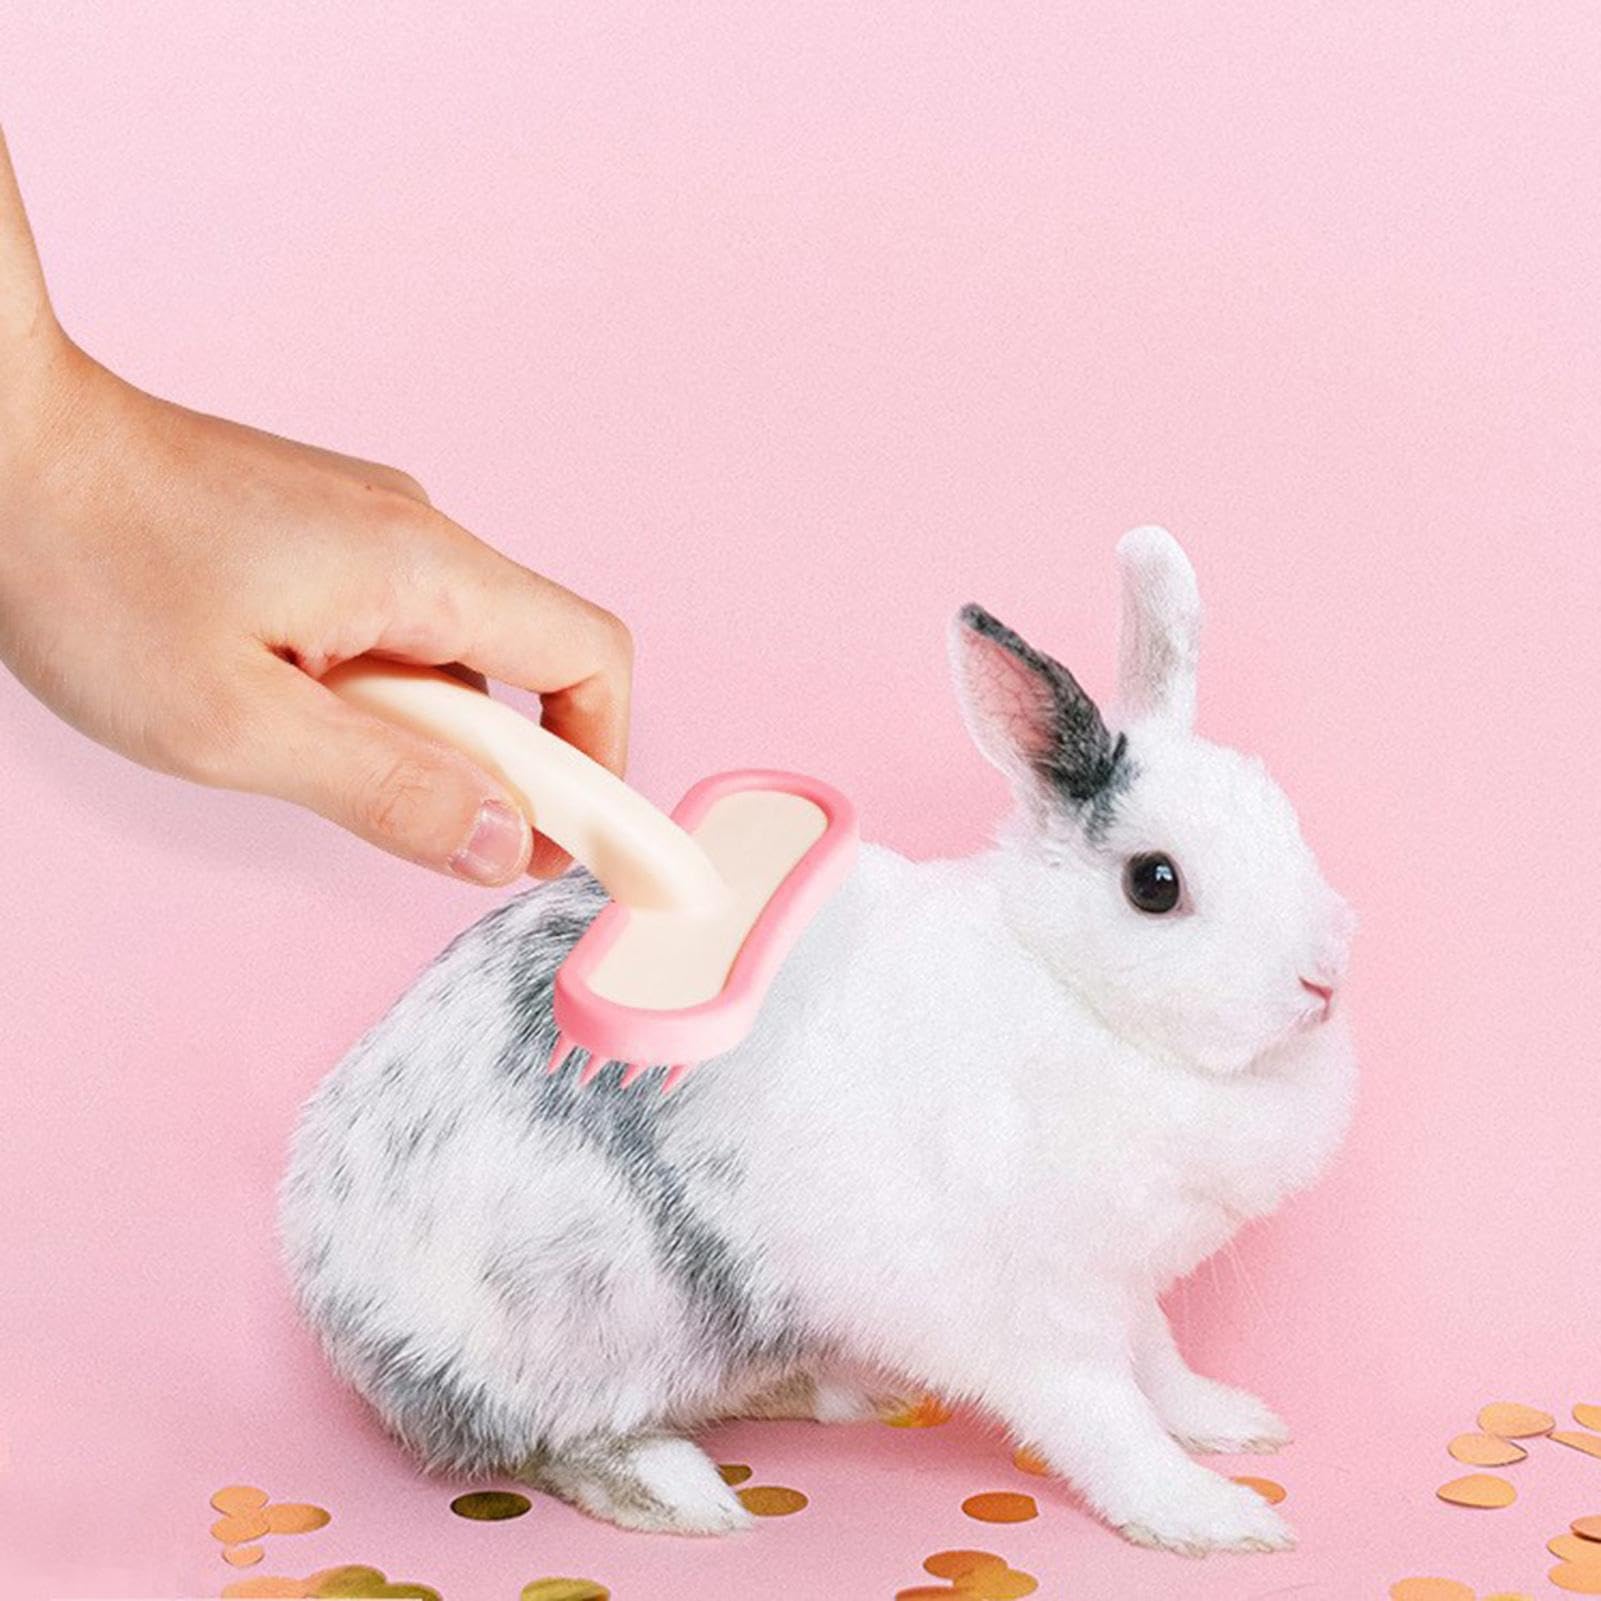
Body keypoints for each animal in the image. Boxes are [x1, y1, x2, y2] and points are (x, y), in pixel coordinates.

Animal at [279, 525, 1355, 1557]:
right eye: (1153, 883)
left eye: (1283, 817)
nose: (1321, 981)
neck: (1070, 991)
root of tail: (334, 1290)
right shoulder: (1033, 1311)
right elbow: (1104, 1418)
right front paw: (1209, 1517)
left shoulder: (1125, 1283)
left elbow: (1159, 1363)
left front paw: (1231, 1421)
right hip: (593, 1310)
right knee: (545, 1439)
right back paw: (680, 1493)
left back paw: (840, 1390)